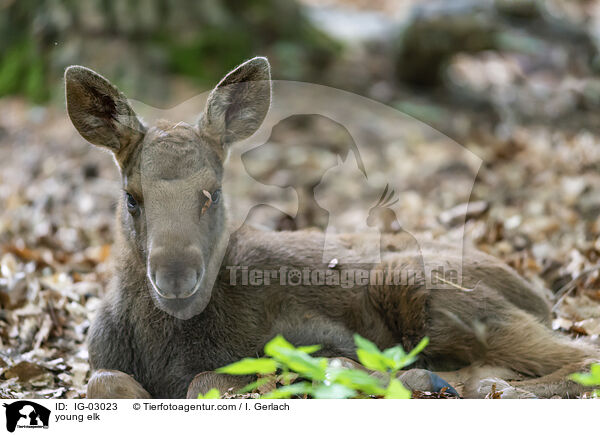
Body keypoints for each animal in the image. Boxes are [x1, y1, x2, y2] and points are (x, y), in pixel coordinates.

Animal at [64, 57, 596, 398]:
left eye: (211, 192)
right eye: (132, 197)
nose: (175, 277)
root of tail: (540, 298)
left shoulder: (304, 334)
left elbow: (208, 382)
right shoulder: (101, 363)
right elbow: (102, 382)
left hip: (429, 288)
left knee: (581, 354)